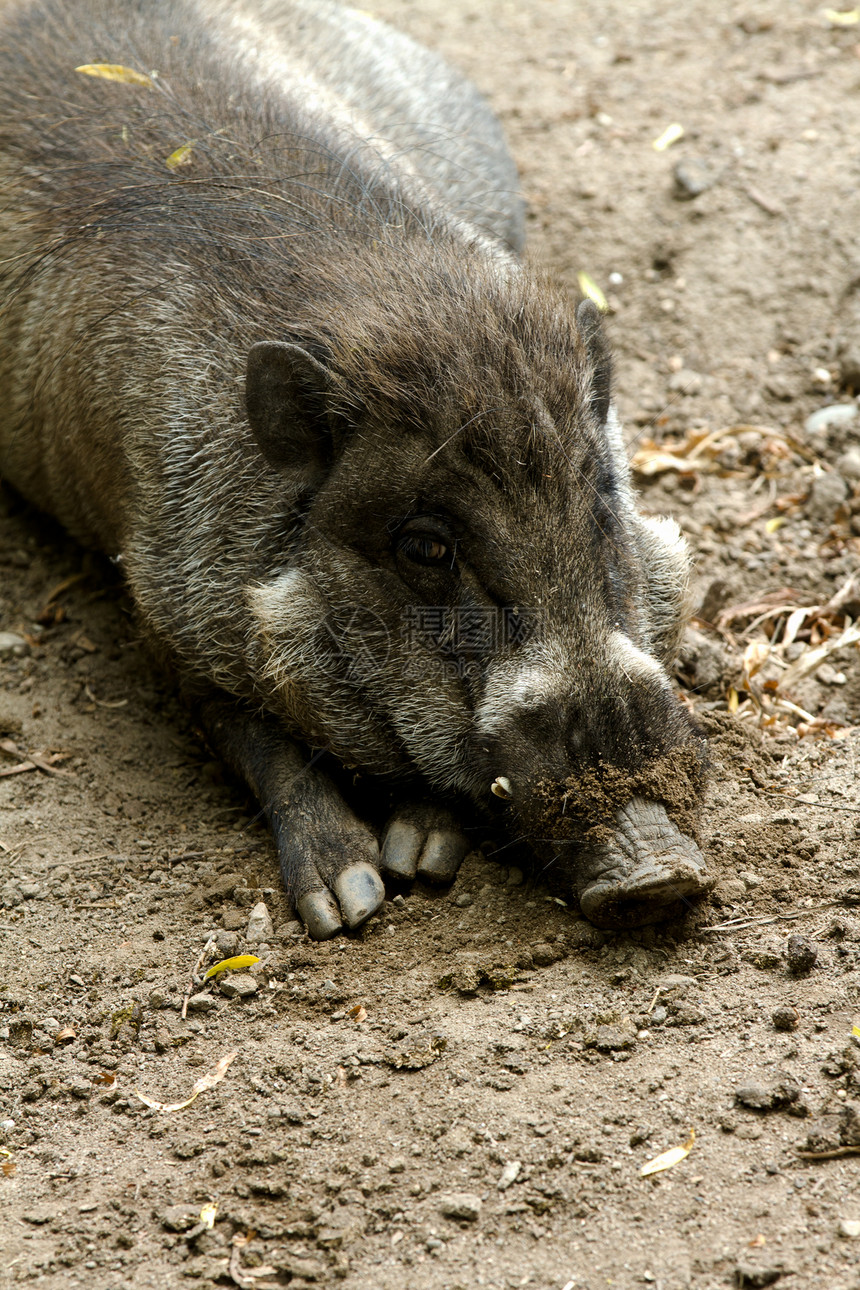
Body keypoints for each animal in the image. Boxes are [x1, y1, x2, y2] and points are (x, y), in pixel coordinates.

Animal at [0, 0, 711, 939]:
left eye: (601, 502)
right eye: (425, 547)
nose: (660, 879)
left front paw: (421, 859)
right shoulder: (158, 594)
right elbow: (251, 732)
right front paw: (354, 902)